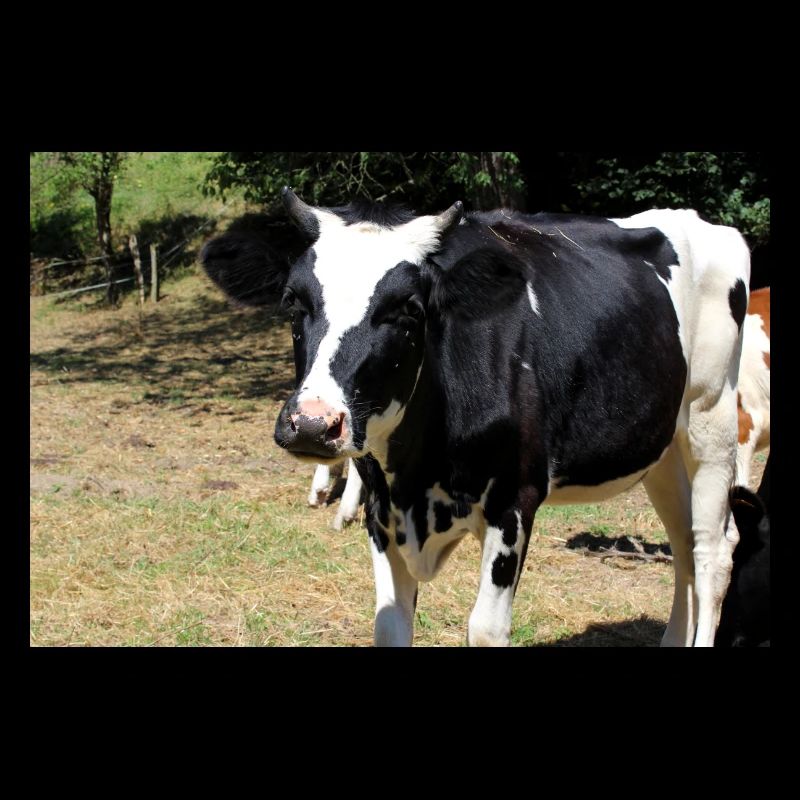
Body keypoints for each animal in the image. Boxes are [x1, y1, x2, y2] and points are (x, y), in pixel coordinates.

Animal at [201, 189, 751, 647]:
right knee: (682, 544)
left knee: (712, 550)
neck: (418, 475)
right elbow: (389, 624)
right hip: (662, 446)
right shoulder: (381, 509)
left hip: (712, 421)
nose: (313, 424)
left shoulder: (515, 499)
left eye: (409, 309)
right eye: (293, 303)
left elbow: (485, 629)